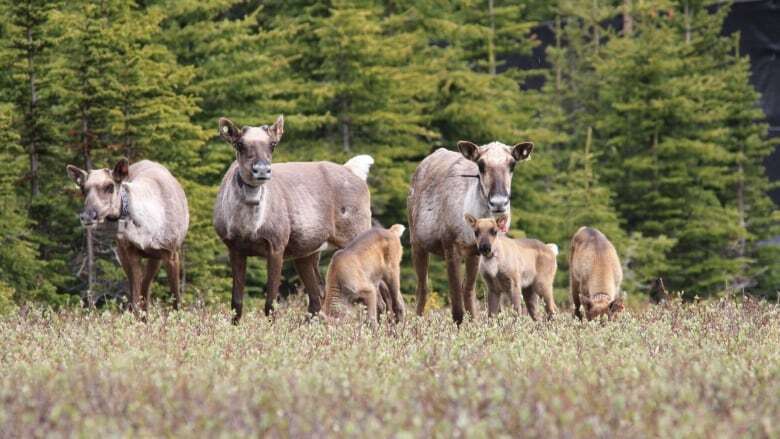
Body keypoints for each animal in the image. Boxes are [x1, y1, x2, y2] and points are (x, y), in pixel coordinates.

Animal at [212, 117, 374, 324]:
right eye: (239, 144)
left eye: (273, 144)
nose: (262, 170)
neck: (248, 228)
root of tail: (355, 172)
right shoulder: (234, 247)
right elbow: (236, 303)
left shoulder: (277, 245)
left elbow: (270, 303)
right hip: (306, 253)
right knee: (317, 295)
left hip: (357, 234)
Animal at [408, 141, 532, 324]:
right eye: (481, 164)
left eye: (512, 164)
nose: (498, 202)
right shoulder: (450, 246)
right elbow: (456, 303)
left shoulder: (477, 251)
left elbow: (470, 291)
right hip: (416, 242)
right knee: (422, 288)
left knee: (465, 289)